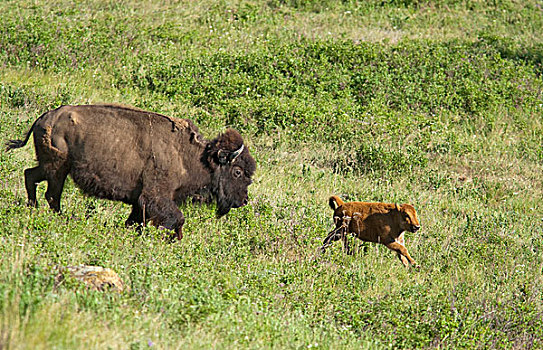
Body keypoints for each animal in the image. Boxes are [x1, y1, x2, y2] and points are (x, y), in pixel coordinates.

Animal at [6, 104, 258, 239]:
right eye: (237, 171)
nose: (244, 200)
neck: (190, 157)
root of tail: (44, 118)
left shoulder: (140, 202)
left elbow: (136, 220)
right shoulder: (155, 196)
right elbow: (177, 218)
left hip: (50, 167)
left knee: (30, 175)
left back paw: (33, 207)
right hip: (58, 168)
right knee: (51, 194)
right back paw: (62, 217)